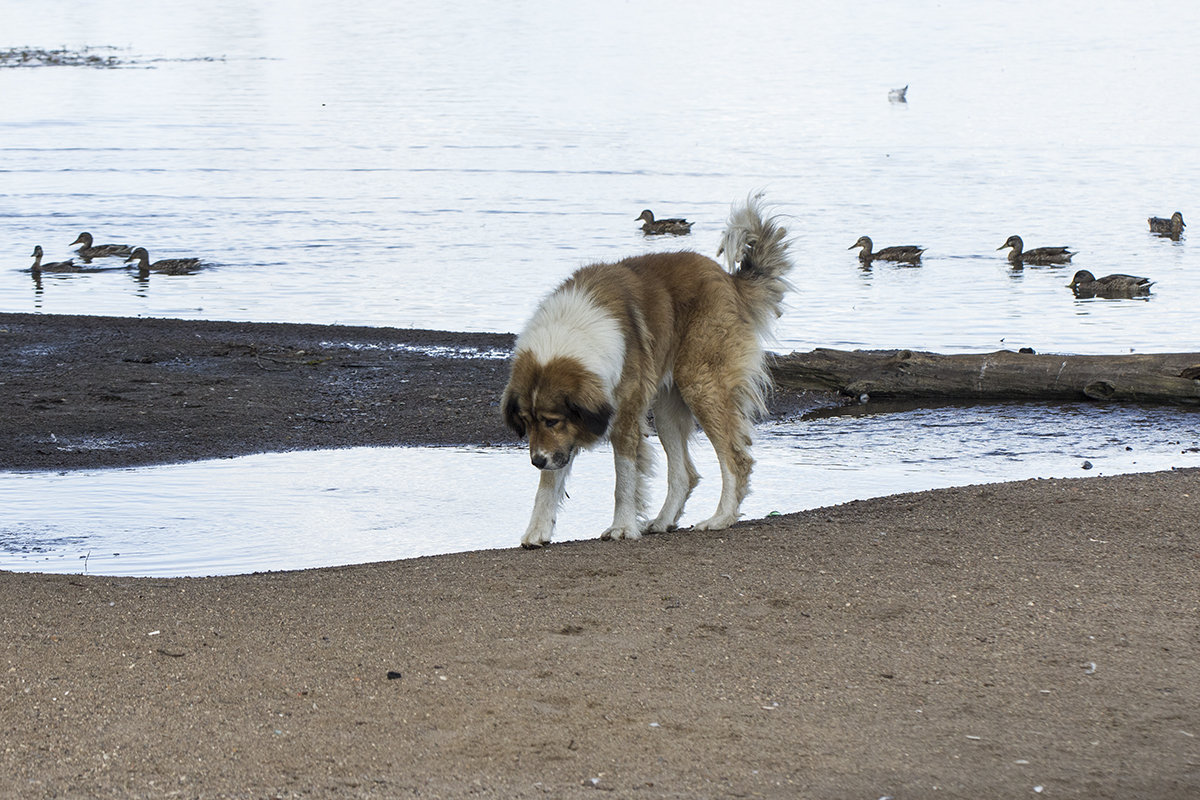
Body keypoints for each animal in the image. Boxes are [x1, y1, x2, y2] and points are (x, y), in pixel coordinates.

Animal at [499, 196, 792, 546]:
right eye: (526, 421)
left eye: (551, 420)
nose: (535, 460)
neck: (571, 330)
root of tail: (728, 278)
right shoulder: (559, 443)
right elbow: (547, 485)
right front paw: (537, 531)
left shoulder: (622, 417)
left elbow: (624, 480)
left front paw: (623, 526)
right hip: (666, 406)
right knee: (685, 473)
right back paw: (663, 521)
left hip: (701, 384)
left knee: (737, 459)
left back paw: (720, 518)